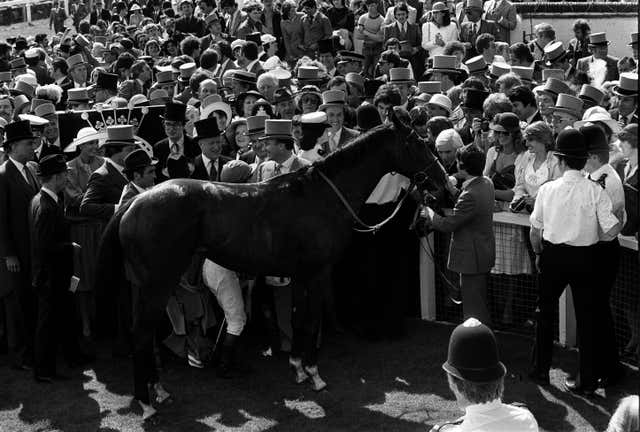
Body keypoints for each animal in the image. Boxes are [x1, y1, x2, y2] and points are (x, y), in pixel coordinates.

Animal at [97, 115, 452, 412]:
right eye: (420, 143)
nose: (446, 189)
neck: (320, 197)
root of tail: (134, 201)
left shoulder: (300, 275)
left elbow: (296, 318)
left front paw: (297, 367)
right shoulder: (318, 273)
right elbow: (311, 320)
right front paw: (314, 374)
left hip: (144, 286)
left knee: (144, 334)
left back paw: (157, 390)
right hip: (158, 283)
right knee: (142, 333)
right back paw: (147, 401)